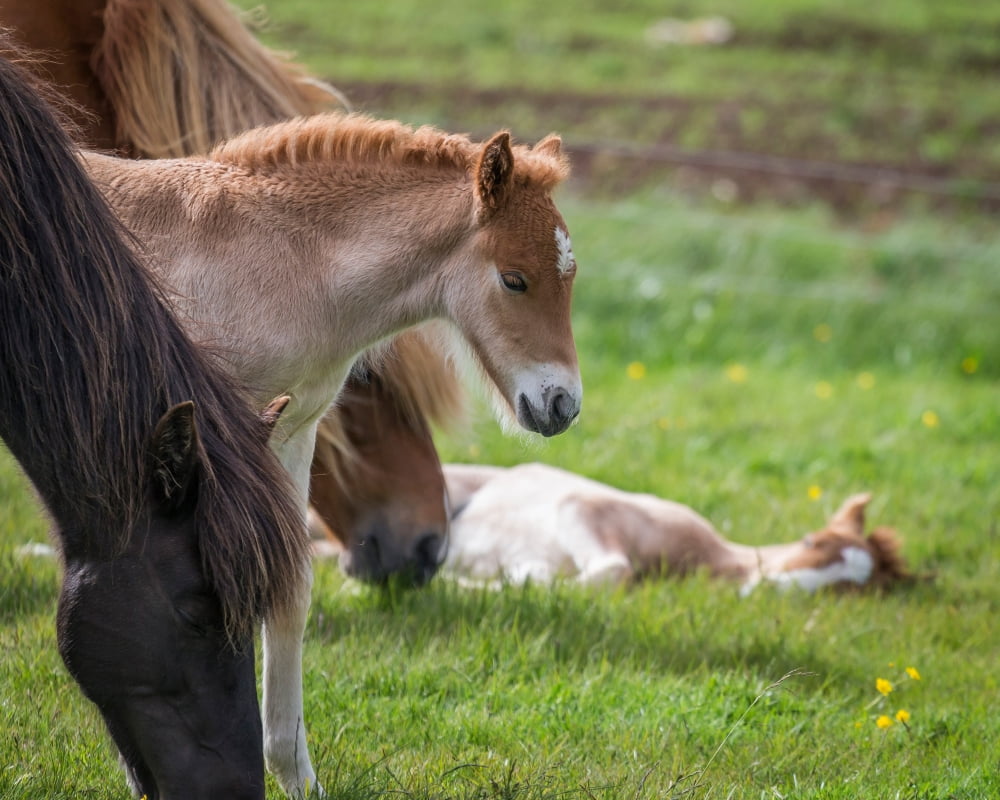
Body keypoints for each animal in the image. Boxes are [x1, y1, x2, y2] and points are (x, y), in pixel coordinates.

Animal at [82, 113, 581, 795]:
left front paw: (297, 776)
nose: (563, 404)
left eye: (571, 278)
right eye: (514, 279)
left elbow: (288, 585)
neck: (276, 262)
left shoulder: (291, 430)